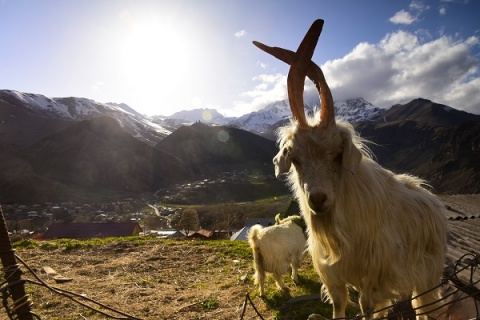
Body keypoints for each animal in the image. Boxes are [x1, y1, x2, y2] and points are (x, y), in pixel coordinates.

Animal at [253, 19, 448, 318]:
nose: (318, 199)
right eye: (295, 159)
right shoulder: (332, 273)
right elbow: (339, 304)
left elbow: (367, 307)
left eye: (337, 154)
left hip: (428, 272)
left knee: (426, 305)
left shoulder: (375, 273)